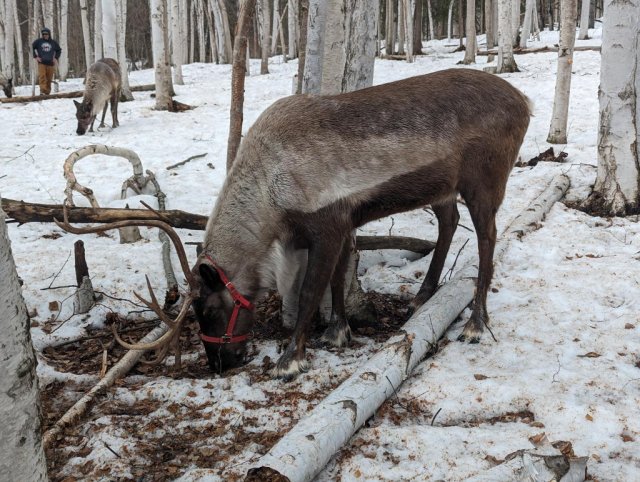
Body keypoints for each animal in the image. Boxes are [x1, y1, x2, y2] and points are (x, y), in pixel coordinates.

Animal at [57, 68, 531, 382]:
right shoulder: (343, 221)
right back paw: (422, 296)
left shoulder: (326, 224)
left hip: (484, 181)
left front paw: (291, 359)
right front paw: (338, 332)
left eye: (208, 309)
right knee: (449, 222)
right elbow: (338, 278)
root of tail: (525, 101)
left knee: (488, 239)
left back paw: (475, 323)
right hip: (442, 188)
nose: (219, 364)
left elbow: (309, 291)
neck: (268, 191)